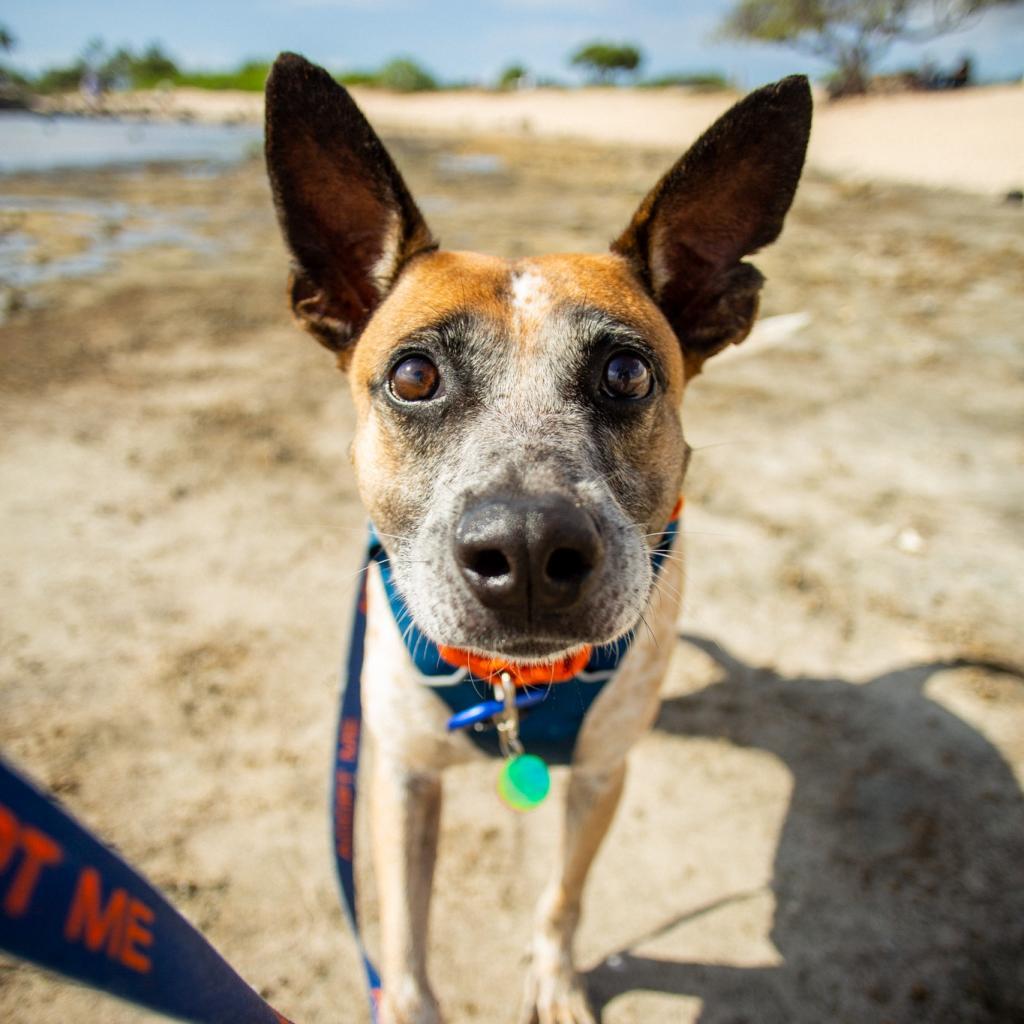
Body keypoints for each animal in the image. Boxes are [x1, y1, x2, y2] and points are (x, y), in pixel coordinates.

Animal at [268, 56, 811, 1024]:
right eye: (414, 375)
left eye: (626, 372)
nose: (524, 552)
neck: (511, 687)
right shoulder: (400, 778)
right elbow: (404, 940)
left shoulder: (601, 777)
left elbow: (563, 895)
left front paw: (555, 979)